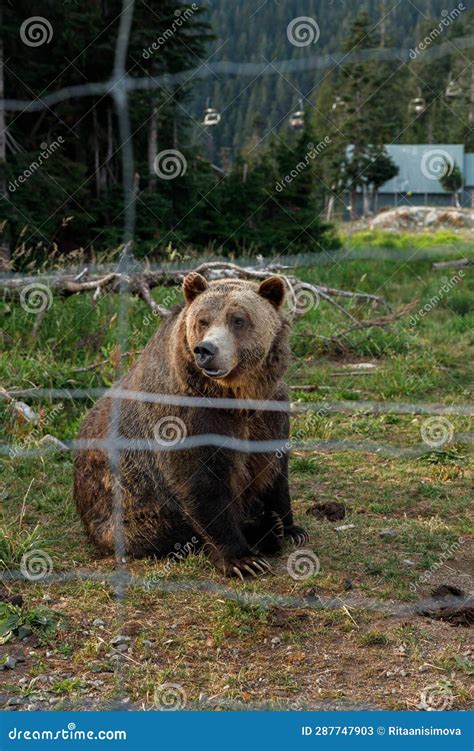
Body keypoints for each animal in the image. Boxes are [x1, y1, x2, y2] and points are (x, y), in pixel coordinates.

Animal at [73, 274, 308, 580]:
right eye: (203, 321)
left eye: (238, 319)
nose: (206, 350)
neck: (236, 397)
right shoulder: (184, 417)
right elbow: (201, 483)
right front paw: (242, 560)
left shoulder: (270, 410)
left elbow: (274, 469)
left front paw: (292, 527)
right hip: (127, 514)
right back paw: (263, 530)